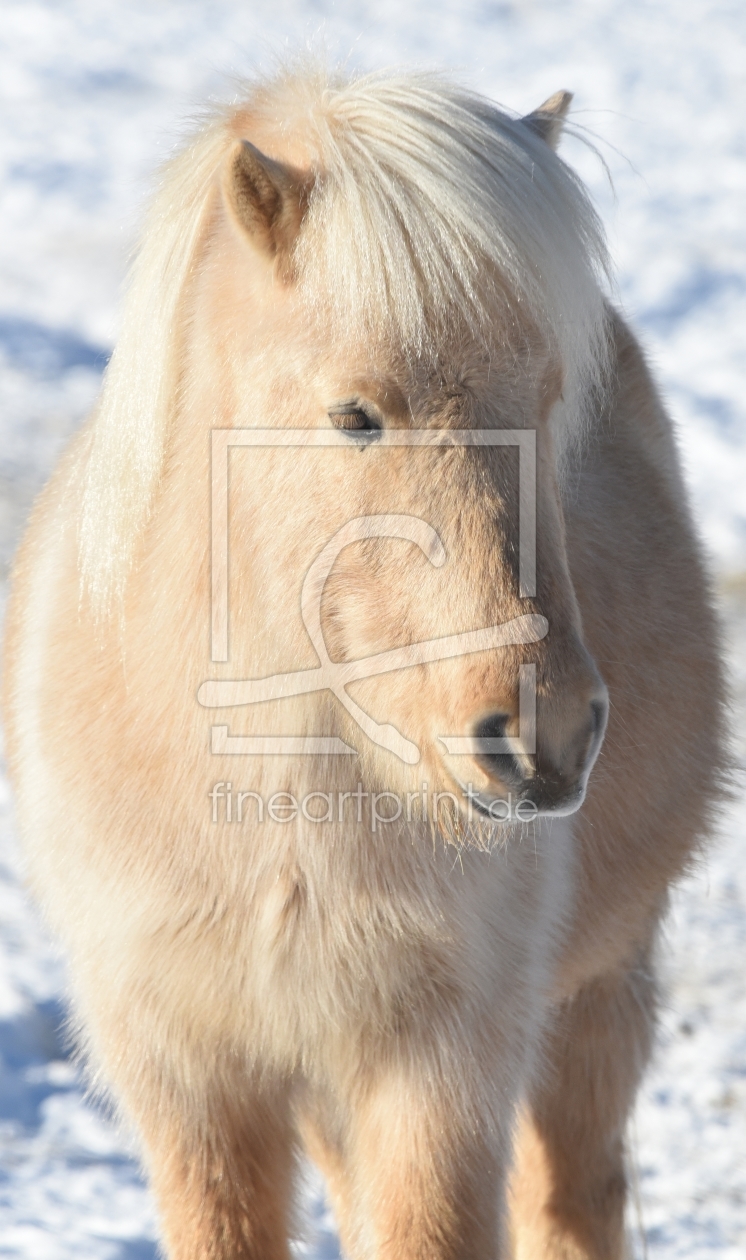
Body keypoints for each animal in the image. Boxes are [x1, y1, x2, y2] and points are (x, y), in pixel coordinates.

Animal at [1, 66, 720, 1260]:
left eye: (549, 400)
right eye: (353, 414)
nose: (545, 733)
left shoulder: (441, 1069)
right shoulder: (189, 1078)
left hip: (596, 994)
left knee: (572, 1197)